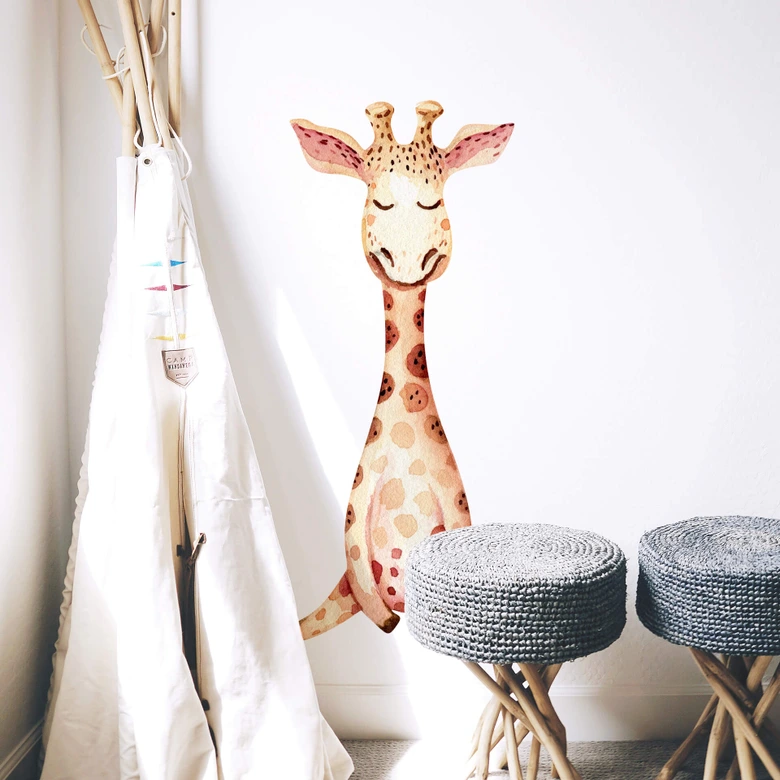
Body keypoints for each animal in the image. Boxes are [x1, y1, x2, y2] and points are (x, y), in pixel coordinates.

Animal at [291, 101, 514, 638]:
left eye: (435, 203)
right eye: (380, 201)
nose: (409, 263)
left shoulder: (457, 508)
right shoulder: (353, 519)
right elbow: (372, 595)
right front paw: (388, 621)